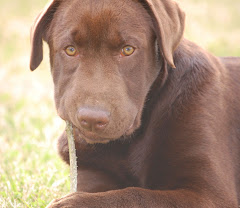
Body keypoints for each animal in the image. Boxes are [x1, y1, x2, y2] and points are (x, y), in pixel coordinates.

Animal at [29, 0, 240, 207]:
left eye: (128, 50)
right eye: (70, 50)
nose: (92, 118)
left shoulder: (210, 195)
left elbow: (137, 195)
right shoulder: (93, 174)